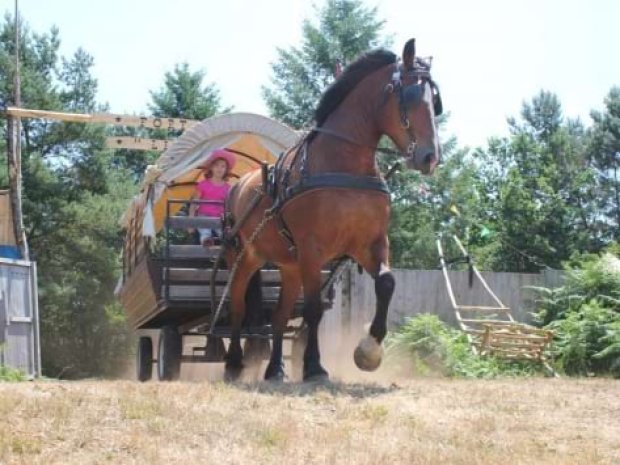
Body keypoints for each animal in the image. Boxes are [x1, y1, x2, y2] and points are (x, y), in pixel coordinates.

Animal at [223, 39, 440, 380]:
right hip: (246, 257)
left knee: (280, 315)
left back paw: (275, 369)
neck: (344, 165)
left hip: (290, 265)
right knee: (237, 305)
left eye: (436, 100)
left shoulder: (370, 244)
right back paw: (233, 363)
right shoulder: (313, 250)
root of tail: (239, 184)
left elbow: (386, 283)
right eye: (411, 95)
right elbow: (313, 310)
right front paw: (314, 366)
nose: (431, 156)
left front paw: (369, 350)